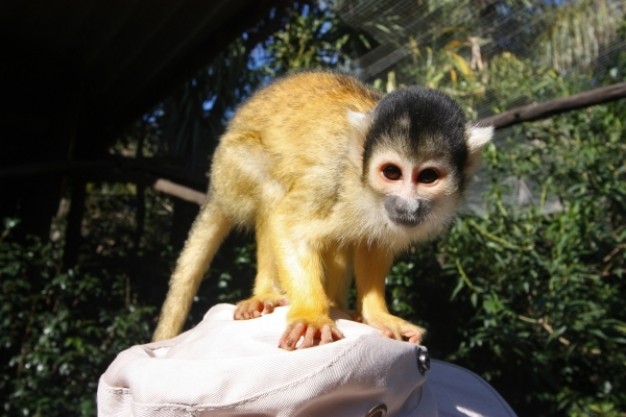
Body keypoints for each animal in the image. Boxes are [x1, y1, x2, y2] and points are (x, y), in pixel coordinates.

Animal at [152, 70, 492, 348]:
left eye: (428, 177)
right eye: (392, 173)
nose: (407, 205)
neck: (364, 188)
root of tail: (214, 182)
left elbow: (373, 244)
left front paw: (377, 314)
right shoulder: (331, 178)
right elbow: (288, 223)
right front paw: (311, 315)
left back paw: (338, 304)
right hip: (233, 165)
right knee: (272, 190)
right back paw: (267, 293)